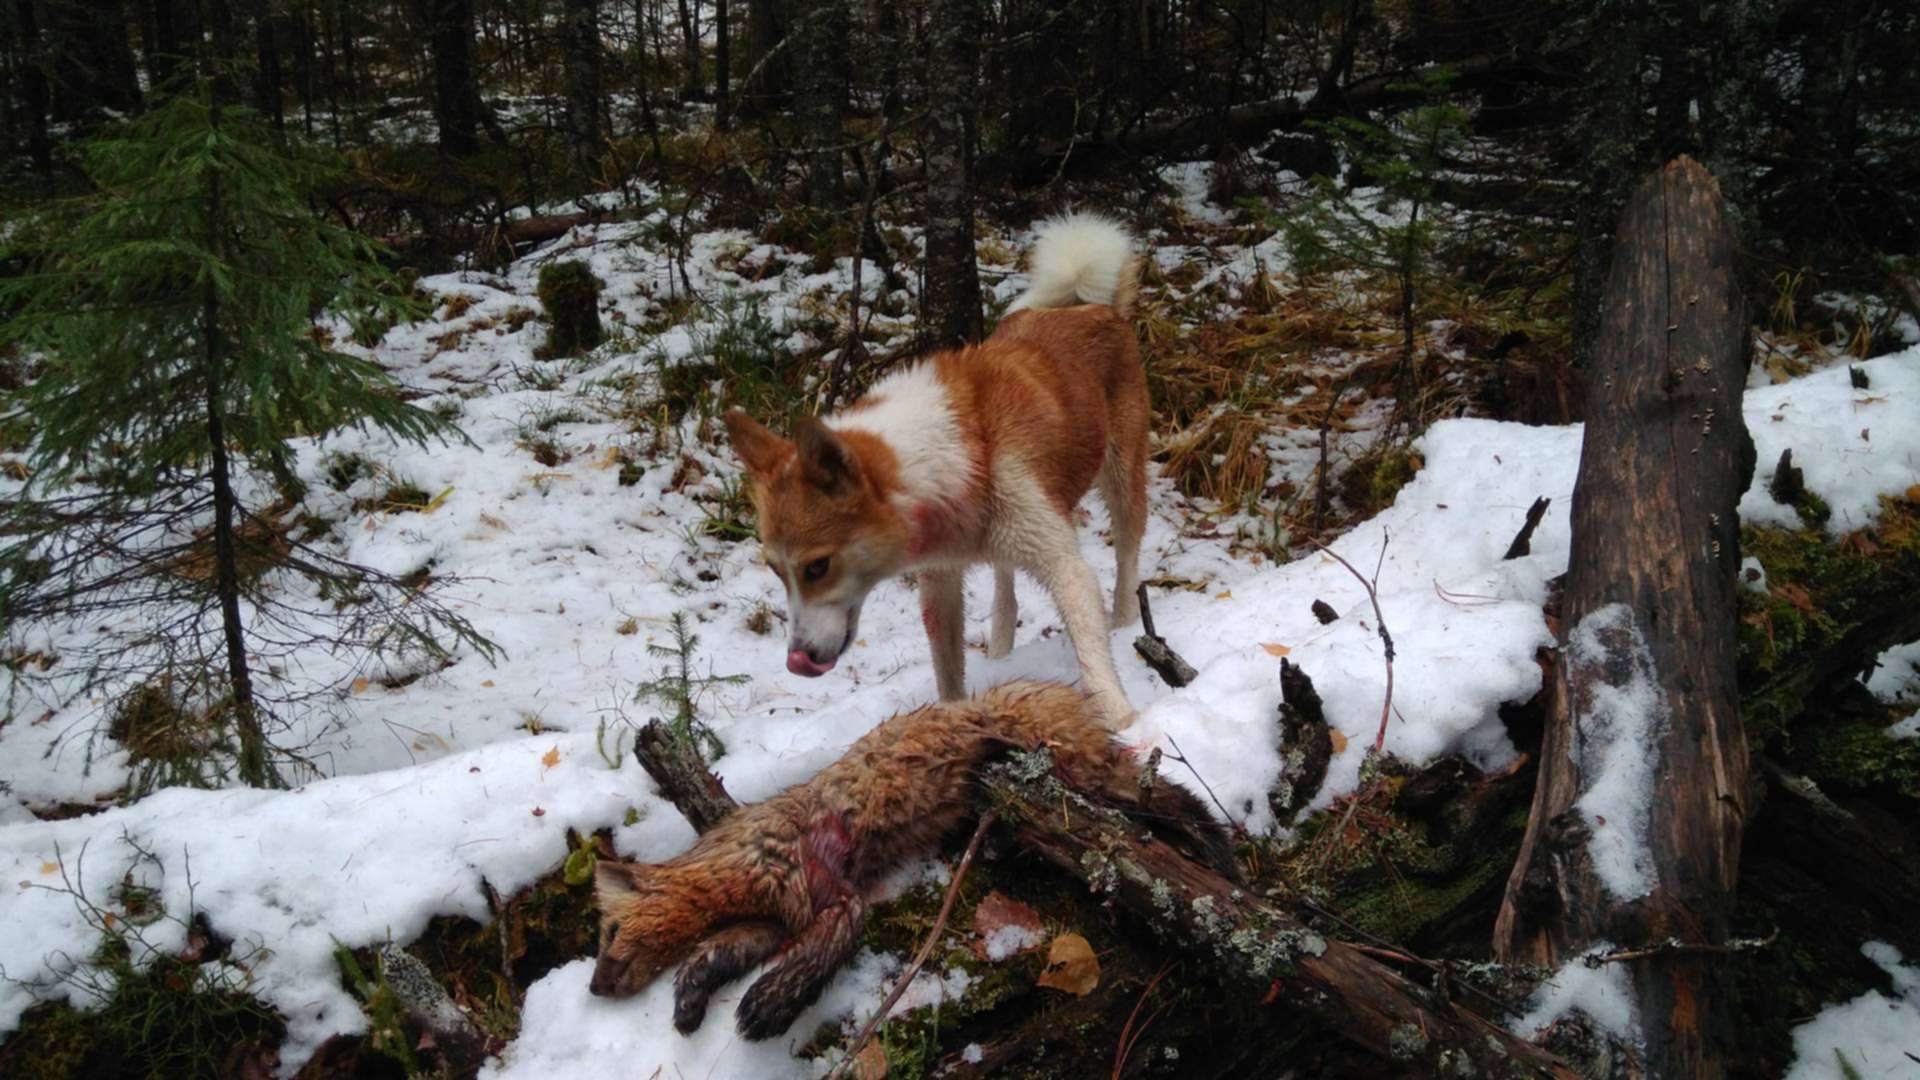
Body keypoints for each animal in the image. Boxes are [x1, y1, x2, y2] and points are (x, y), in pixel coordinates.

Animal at [591, 676, 1236, 1037]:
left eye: (608, 931)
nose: (595, 988)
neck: (731, 867)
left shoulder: (827, 888)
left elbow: (822, 950)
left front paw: (762, 1008)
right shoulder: (772, 918)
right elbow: (716, 952)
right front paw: (688, 1006)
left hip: (1072, 761)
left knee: (1158, 788)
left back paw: (1216, 846)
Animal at [718, 212, 1136, 722]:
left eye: (817, 568)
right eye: (776, 571)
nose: (797, 661)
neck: (957, 451)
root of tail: (1087, 307)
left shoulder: (1066, 569)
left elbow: (1094, 661)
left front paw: (1126, 722)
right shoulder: (940, 586)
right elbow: (948, 673)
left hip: (1123, 479)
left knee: (1127, 556)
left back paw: (1125, 625)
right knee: (1005, 581)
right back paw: (1002, 647)